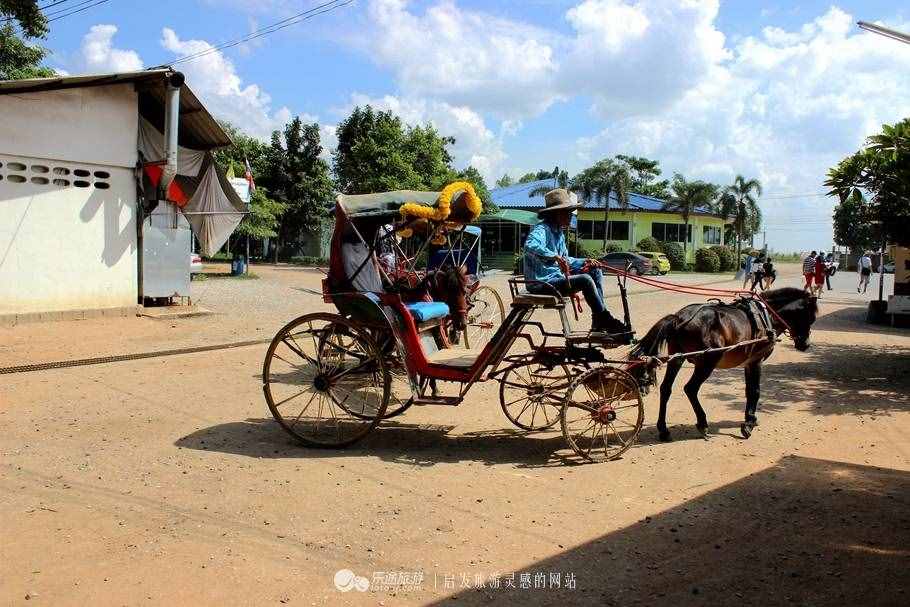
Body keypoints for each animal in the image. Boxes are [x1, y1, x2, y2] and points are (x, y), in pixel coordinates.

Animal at [636, 290, 820, 442]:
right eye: (810, 318)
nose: (805, 344)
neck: (766, 315)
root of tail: (679, 317)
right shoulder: (756, 361)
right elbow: (755, 391)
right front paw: (748, 424)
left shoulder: (748, 364)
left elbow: (749, 391)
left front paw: (750, 418)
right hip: (708, 362)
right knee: (690, 388)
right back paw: (702, 423)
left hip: (677, 359)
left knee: (666, 389)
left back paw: (663, 430)